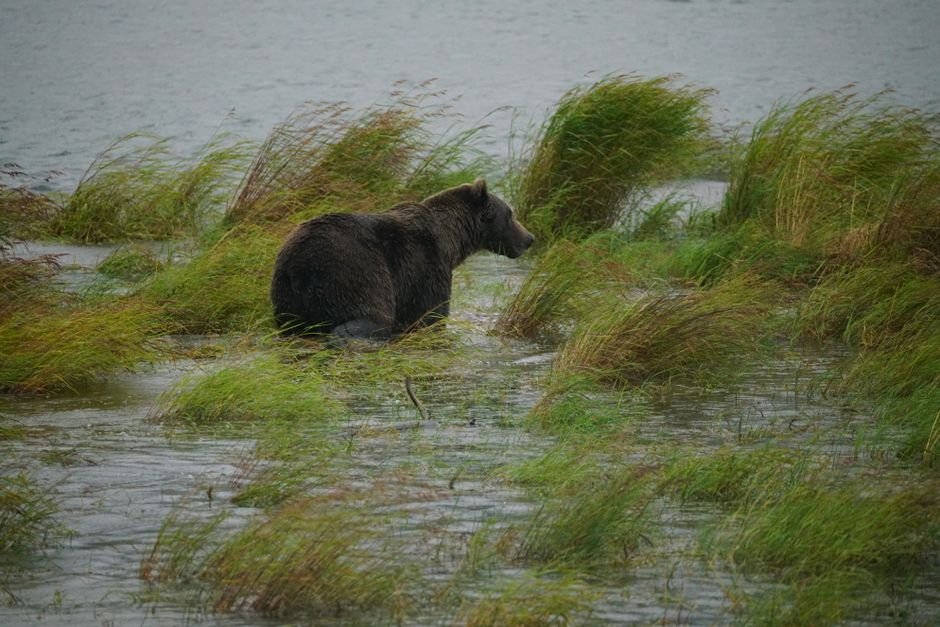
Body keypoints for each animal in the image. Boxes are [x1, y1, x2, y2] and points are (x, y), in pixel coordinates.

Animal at [270, 178, 535, 339]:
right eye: (510, 214)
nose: (529, 238)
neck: (453, 239)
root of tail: (301, 264)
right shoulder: (426, 264)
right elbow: (431, 314)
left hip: (286, 293)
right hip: (353, 273)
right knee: (369, 317)